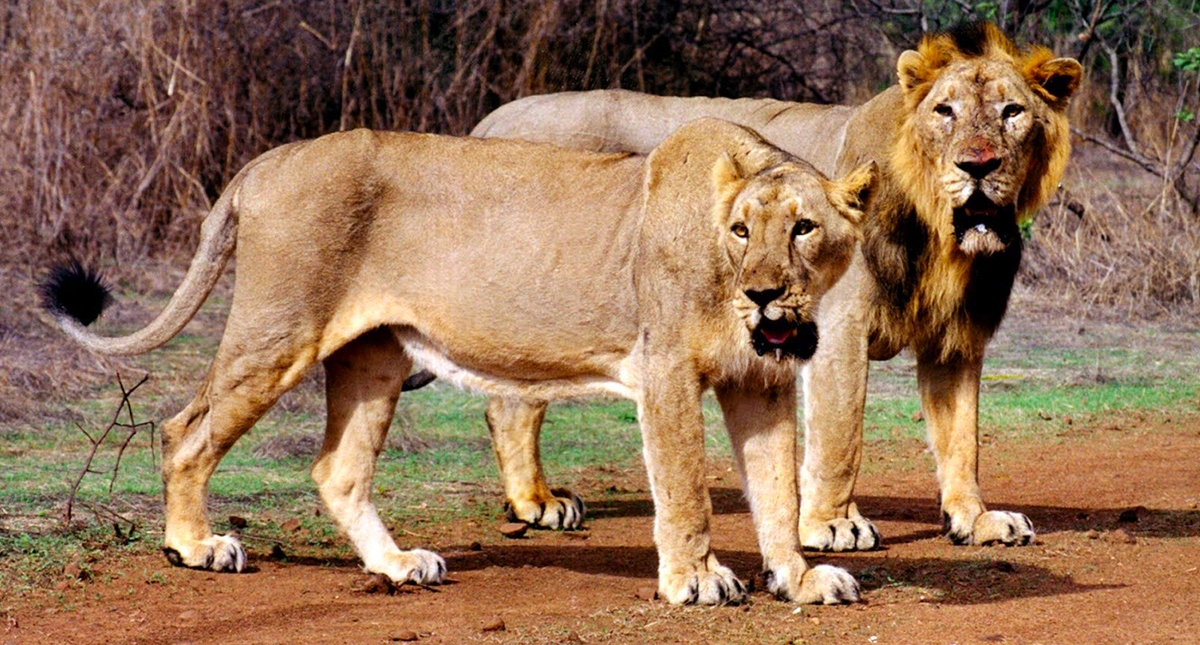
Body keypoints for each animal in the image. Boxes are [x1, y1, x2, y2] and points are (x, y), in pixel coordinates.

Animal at [44, 118, 876, 605]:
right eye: (740, 230)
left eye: (804, 228)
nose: (764, 293)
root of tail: (268, 159)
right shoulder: (665, 366)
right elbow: (686, 490)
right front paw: (697, 579)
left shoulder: (761, 384)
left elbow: (775, 491)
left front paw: (799, 577)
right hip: (278, 328)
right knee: (184, 430)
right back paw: (195, 546)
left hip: (372, 355)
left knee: (337, 469)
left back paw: (397, 565)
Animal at [459, 22, 1082, 550]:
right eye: (945, 111)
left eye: (1012, 112)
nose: (978, 165)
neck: (941, 238)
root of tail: (487, 123)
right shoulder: (838, 326)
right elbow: (841, 433)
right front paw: (832, 525)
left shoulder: (956, 337)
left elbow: (962, 437)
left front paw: (975, 519)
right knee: (510, 408)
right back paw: (536, 502)